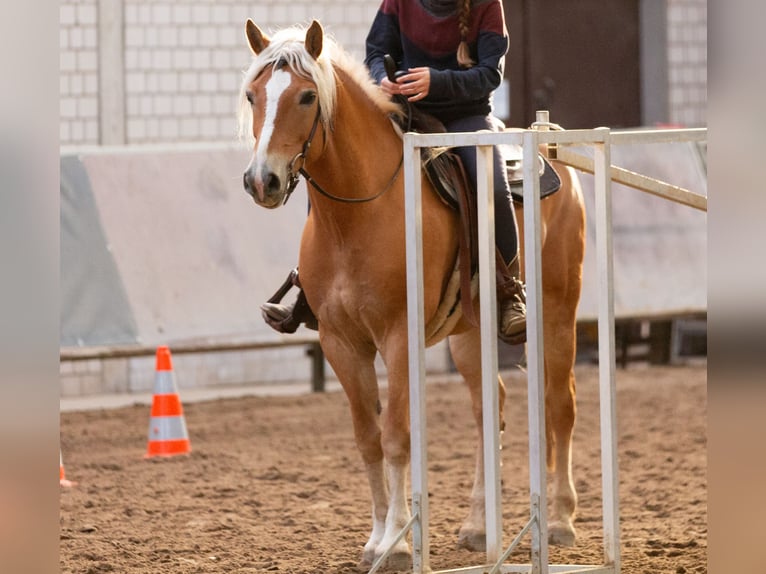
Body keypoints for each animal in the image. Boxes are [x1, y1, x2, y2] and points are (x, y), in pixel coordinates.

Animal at [238, 20, 585, 571]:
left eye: (307, 96)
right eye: (252, 95)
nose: (262, 181)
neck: (358, 215)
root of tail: (555, 154)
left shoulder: (399, 337)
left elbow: (398, 436)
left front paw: (399, 543)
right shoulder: (341, 344)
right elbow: (368, 440)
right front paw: (377, 538)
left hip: (557, 310)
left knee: (560, 403)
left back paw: (559, 521)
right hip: (470, 333)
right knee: (490, 407)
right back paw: (478, 527)